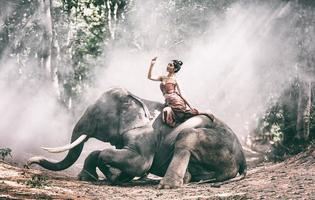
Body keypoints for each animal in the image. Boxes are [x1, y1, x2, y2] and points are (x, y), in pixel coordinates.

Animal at [27, 86, 247, 188]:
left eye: (96, 115)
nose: (28, 164)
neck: (137, 98)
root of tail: (243, 159)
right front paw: (102, 177)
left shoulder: (144, 135)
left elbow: (139, 163)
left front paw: (115, 176)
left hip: (216, 144)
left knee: (185, 138)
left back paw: (168, 185)